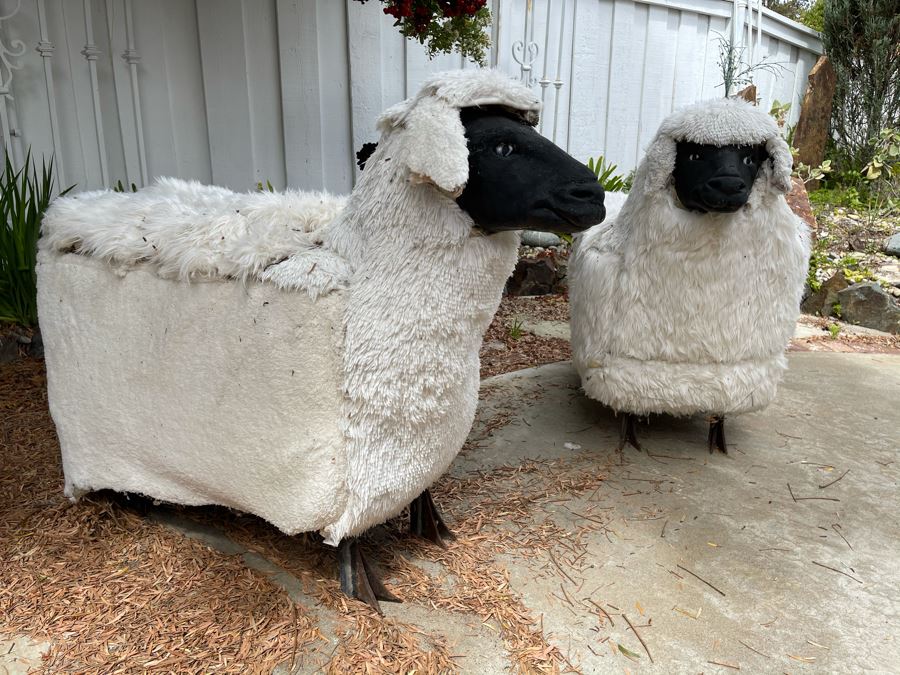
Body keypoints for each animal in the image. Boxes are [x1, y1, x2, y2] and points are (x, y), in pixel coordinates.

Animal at [37, 68, 606, 611]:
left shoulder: (416, 443)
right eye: (502, 147)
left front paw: (433, 527)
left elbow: (421, 494)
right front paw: (364, 586)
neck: (363, 264)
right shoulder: (351, 471)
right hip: (96, 426)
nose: (593, 194)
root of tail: (76, 209)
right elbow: (349, 540)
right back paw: (132, 498)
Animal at [569, 98, 810, 454]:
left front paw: (718, 437)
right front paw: (629, 433)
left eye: (751, 158)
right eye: (694, 156)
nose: (728, 186)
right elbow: (625, 402)